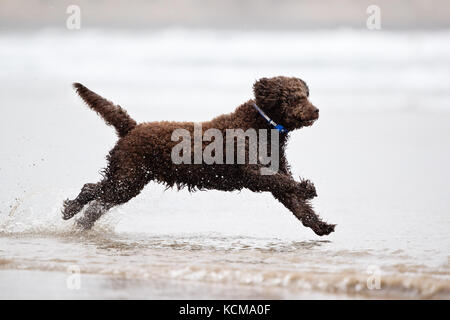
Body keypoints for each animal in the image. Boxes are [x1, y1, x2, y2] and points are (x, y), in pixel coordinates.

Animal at [62, 77, 334, 235]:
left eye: (306, 95)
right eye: (294, 98)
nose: (316, 110)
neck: (260, 125)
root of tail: (132, 127)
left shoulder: (273, 172)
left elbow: (297, 204)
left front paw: (320, 226)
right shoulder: (253, 173)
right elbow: (285, 183)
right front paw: (306, 187)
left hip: (127, 178)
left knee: (96, 198)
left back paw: (79, 220)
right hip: (127, 179)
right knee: (93, 192)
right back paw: (72, 212)